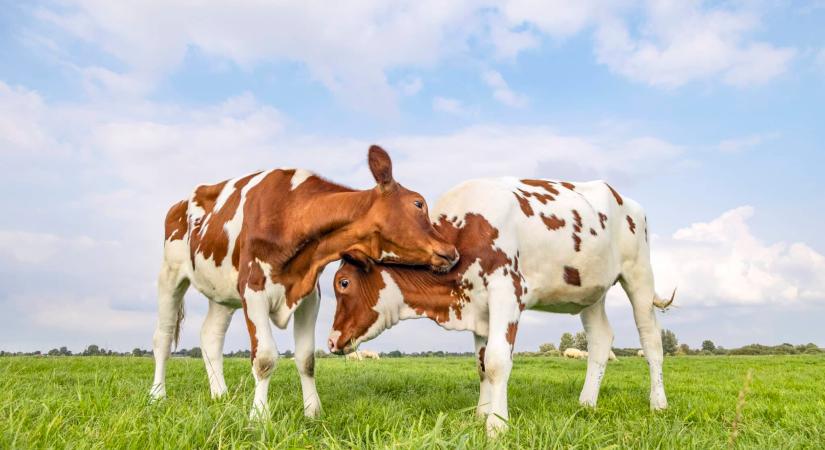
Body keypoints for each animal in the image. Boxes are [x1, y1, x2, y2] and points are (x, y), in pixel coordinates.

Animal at [148, 146, 458, 420]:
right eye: (418, 203)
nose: (451, 251)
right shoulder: (253, 289)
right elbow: (265, 358)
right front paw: (259, 417)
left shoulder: (309, 294)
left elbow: (307, 359)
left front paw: (312, 412)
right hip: (169, 274)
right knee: (163, 337)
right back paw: (157, 395)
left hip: (222, 294)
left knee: (210, 336)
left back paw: (220, 396)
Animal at [326, 177, 672, 436]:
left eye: (343, 283)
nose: (330, 341)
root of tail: (625, 199)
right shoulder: (478, 307)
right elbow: (481, 366)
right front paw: (481, 415)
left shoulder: (507, 292)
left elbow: (496, 362)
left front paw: (497, 425)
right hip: (591, 291)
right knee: (600, 340)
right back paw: (586, 403)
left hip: (639, 274)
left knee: (651, 339)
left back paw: (658, 404)